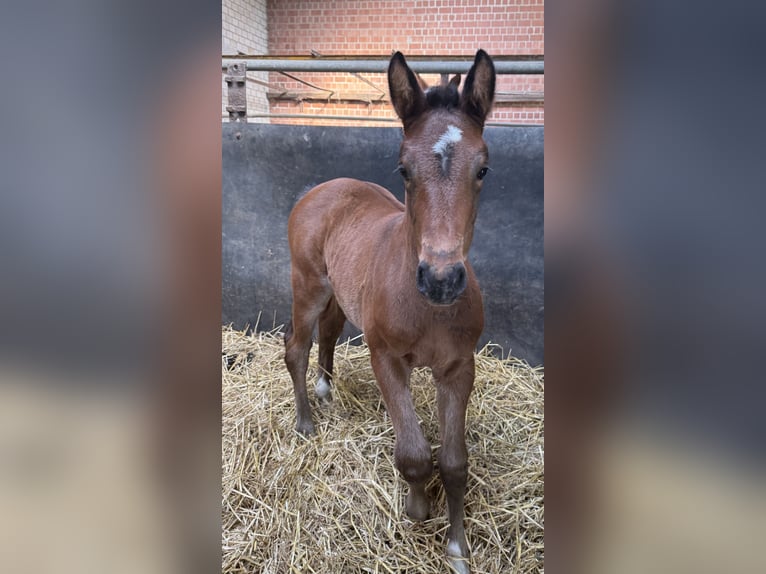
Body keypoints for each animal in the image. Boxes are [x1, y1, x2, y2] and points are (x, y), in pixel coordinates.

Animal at [284, 49, 495, 574]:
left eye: (483, 169)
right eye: (403, 169)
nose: (441, 279)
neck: (429, 310)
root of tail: (323, 188)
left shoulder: (459, 367)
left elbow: (455, 460)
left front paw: (457, 549)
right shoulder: (386, 359)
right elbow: (415, 454)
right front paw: (418, 507)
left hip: (341, 294)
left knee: (329, 332)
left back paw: (325, 390)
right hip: (308, 285)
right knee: (296, 346)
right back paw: (305, 423)